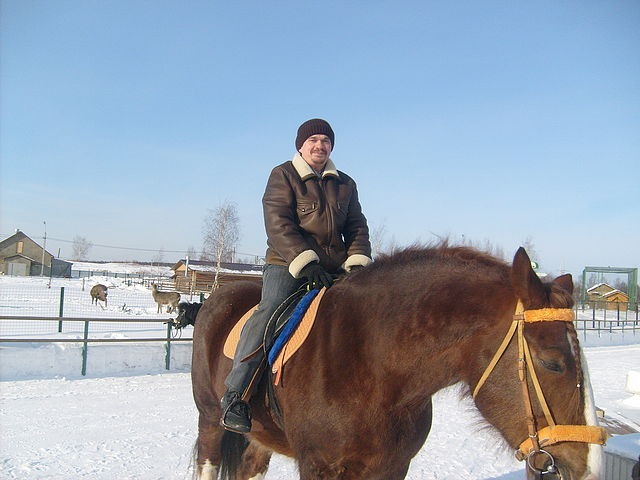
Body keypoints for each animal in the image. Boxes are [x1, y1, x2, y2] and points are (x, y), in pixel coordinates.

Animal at [190, 244, 606, 480]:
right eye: (552, 362)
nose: (590, 466)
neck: (373, 365)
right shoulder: (319, 467)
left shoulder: (391, 467)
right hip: (211, 421)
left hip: (261, 437)